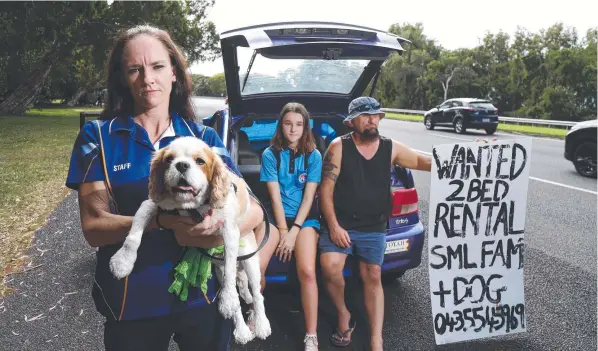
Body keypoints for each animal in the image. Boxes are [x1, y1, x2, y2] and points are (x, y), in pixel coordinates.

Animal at [109, 136, 274, 346]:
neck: (192, 208)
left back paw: (261, 325)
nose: (181, 165)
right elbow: (133, 234)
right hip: (218, 268)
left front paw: (228, 298)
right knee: (239, 300)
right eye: (169, 159)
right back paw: (242, 331)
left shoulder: (229, 230)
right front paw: (123, 262)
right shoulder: (152, 204)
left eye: (200, 161)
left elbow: (230, 269)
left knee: (256, 293)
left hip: (249, 257)